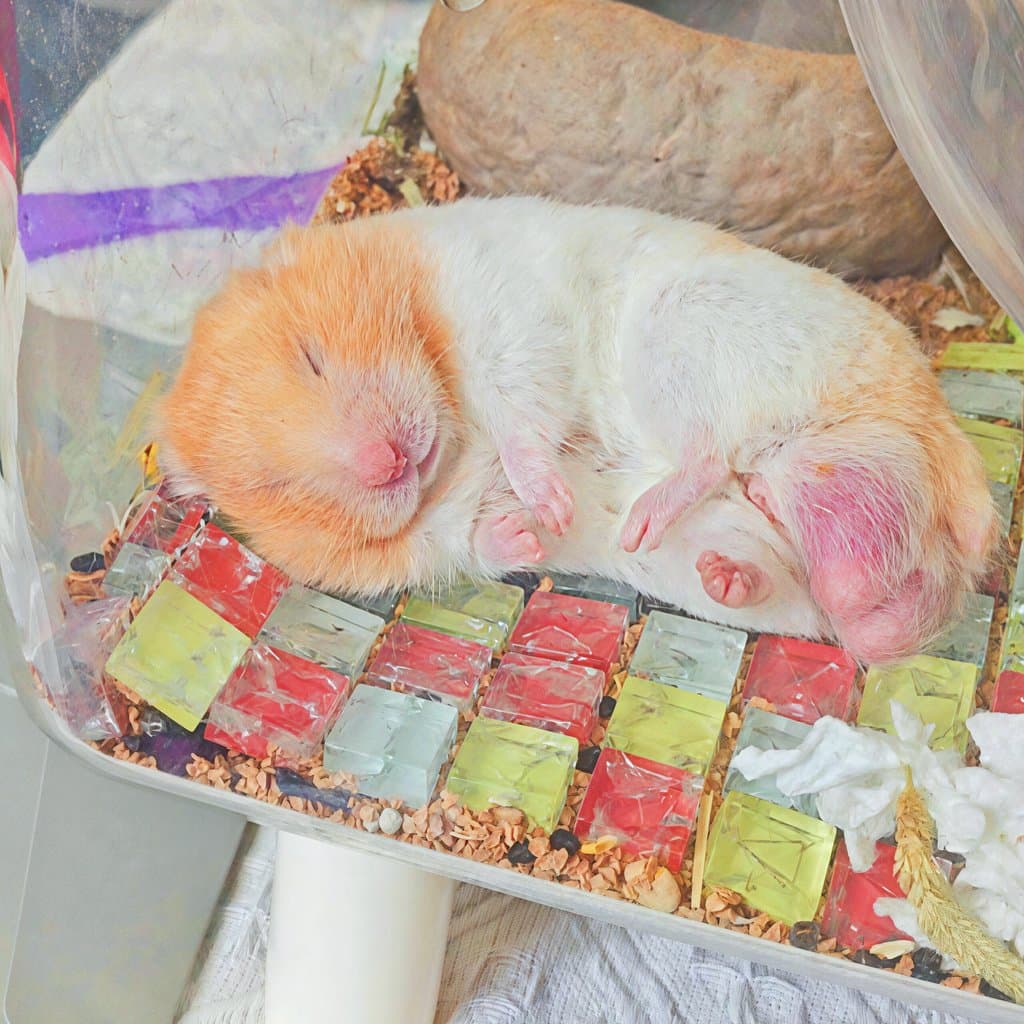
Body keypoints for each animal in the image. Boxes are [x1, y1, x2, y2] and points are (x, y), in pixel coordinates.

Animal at [158, 196, 996, 663]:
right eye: (275, 485)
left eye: (312, 358)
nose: (387, 463)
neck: (451, 423)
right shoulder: (423, 544)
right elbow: (466, 541)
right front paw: (531, 533)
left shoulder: (505, 325)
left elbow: (521, 416)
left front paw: (550, 501)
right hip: (803, 537)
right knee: (822, 590)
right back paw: (731, 561)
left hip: (684, 330)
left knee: (709, 453)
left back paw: (649, 512)